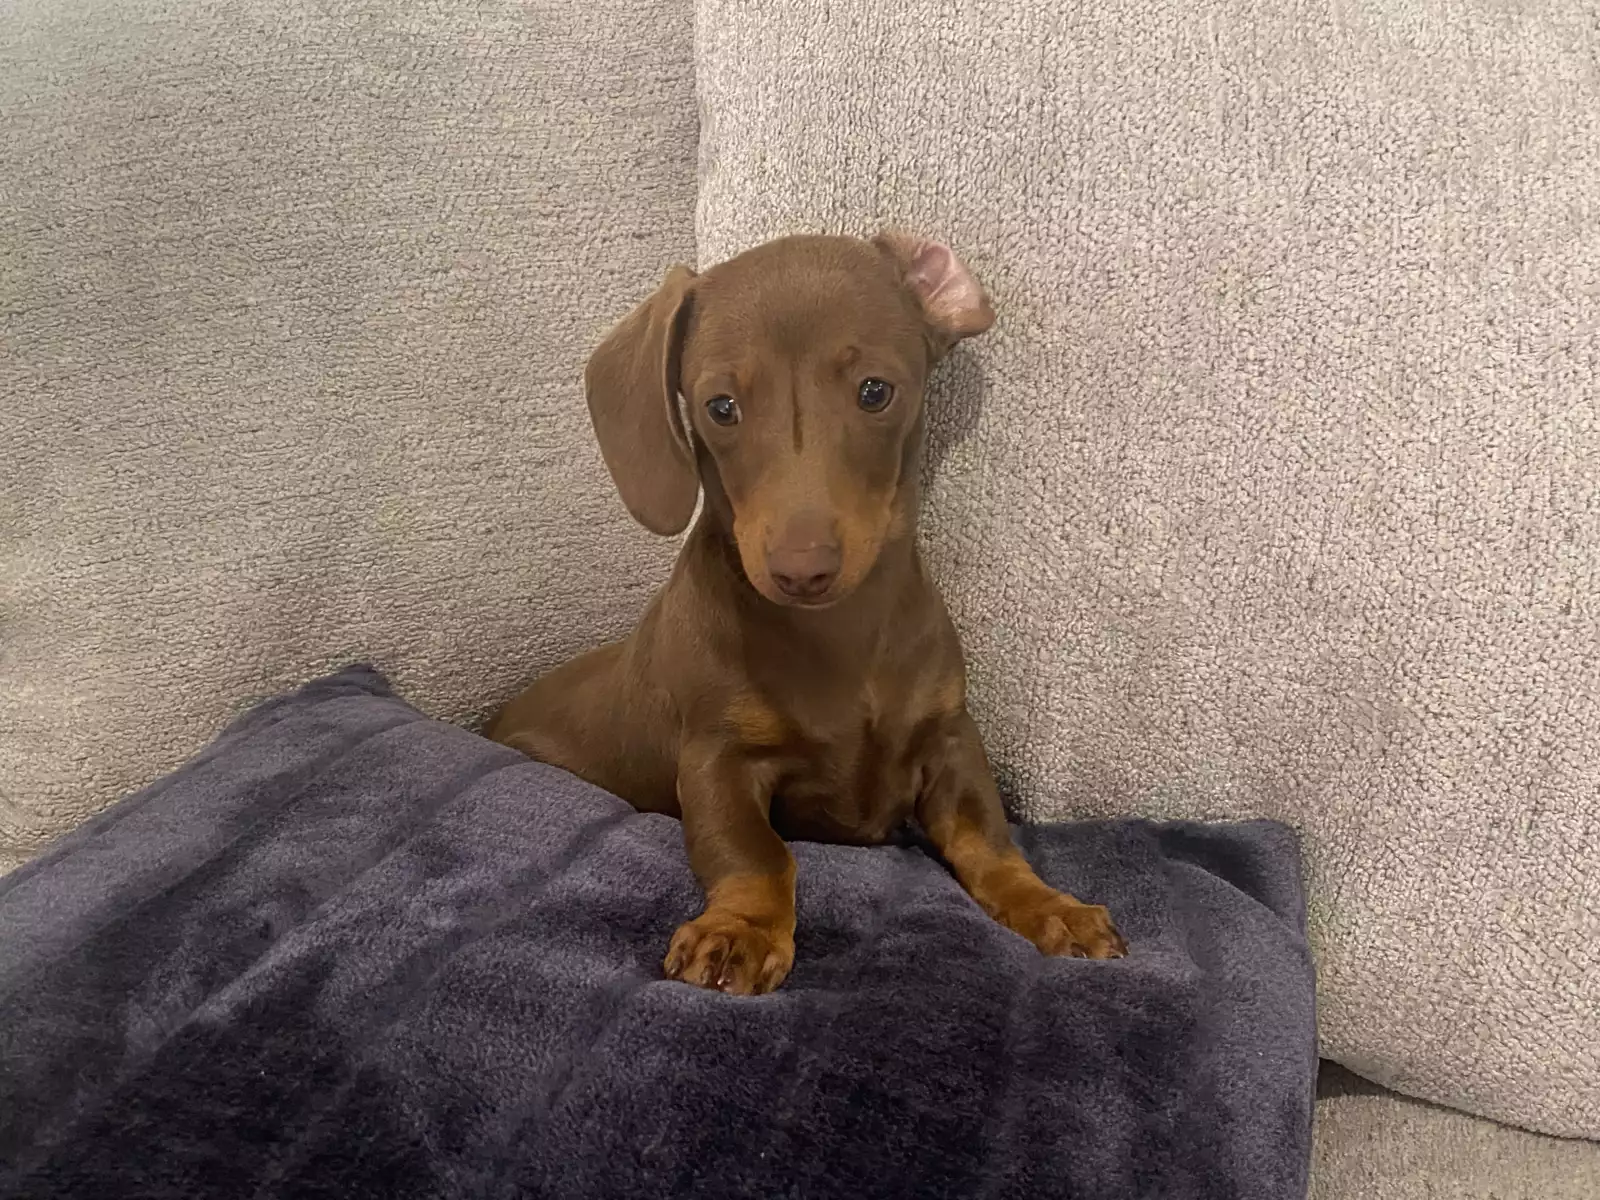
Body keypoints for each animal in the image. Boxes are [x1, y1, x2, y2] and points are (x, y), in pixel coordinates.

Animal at [487, 232, 1126, 994]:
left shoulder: (950, 738)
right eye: (721, 407)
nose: (802, 570)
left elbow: (988, 839)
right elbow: (756, 853)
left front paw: (1049, 906)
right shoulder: (718, 758)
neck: (841, 636)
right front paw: (740, 930)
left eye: (876, 391)